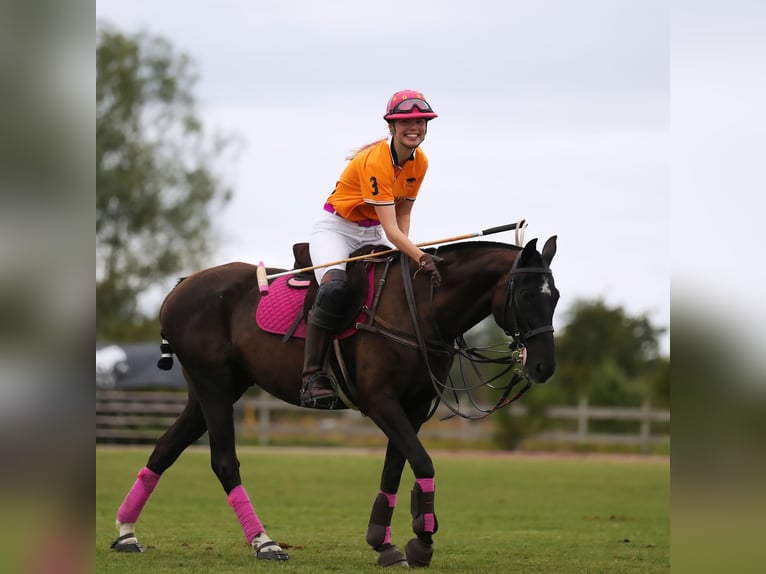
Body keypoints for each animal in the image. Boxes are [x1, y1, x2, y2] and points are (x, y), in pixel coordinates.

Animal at [111, 237, 560, 568]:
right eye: (524, 293)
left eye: (554, 295)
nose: (543, 366)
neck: (420, 308)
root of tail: (180, 286)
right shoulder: (381, 402)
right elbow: (422, 462)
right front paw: (422, 540)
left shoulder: (412, 408)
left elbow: (394, 469)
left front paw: (384, 543)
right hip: (214, 385)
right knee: (223, 461)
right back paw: (265, 543)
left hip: (212, 391)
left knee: (165, 448)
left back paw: (127, 534)